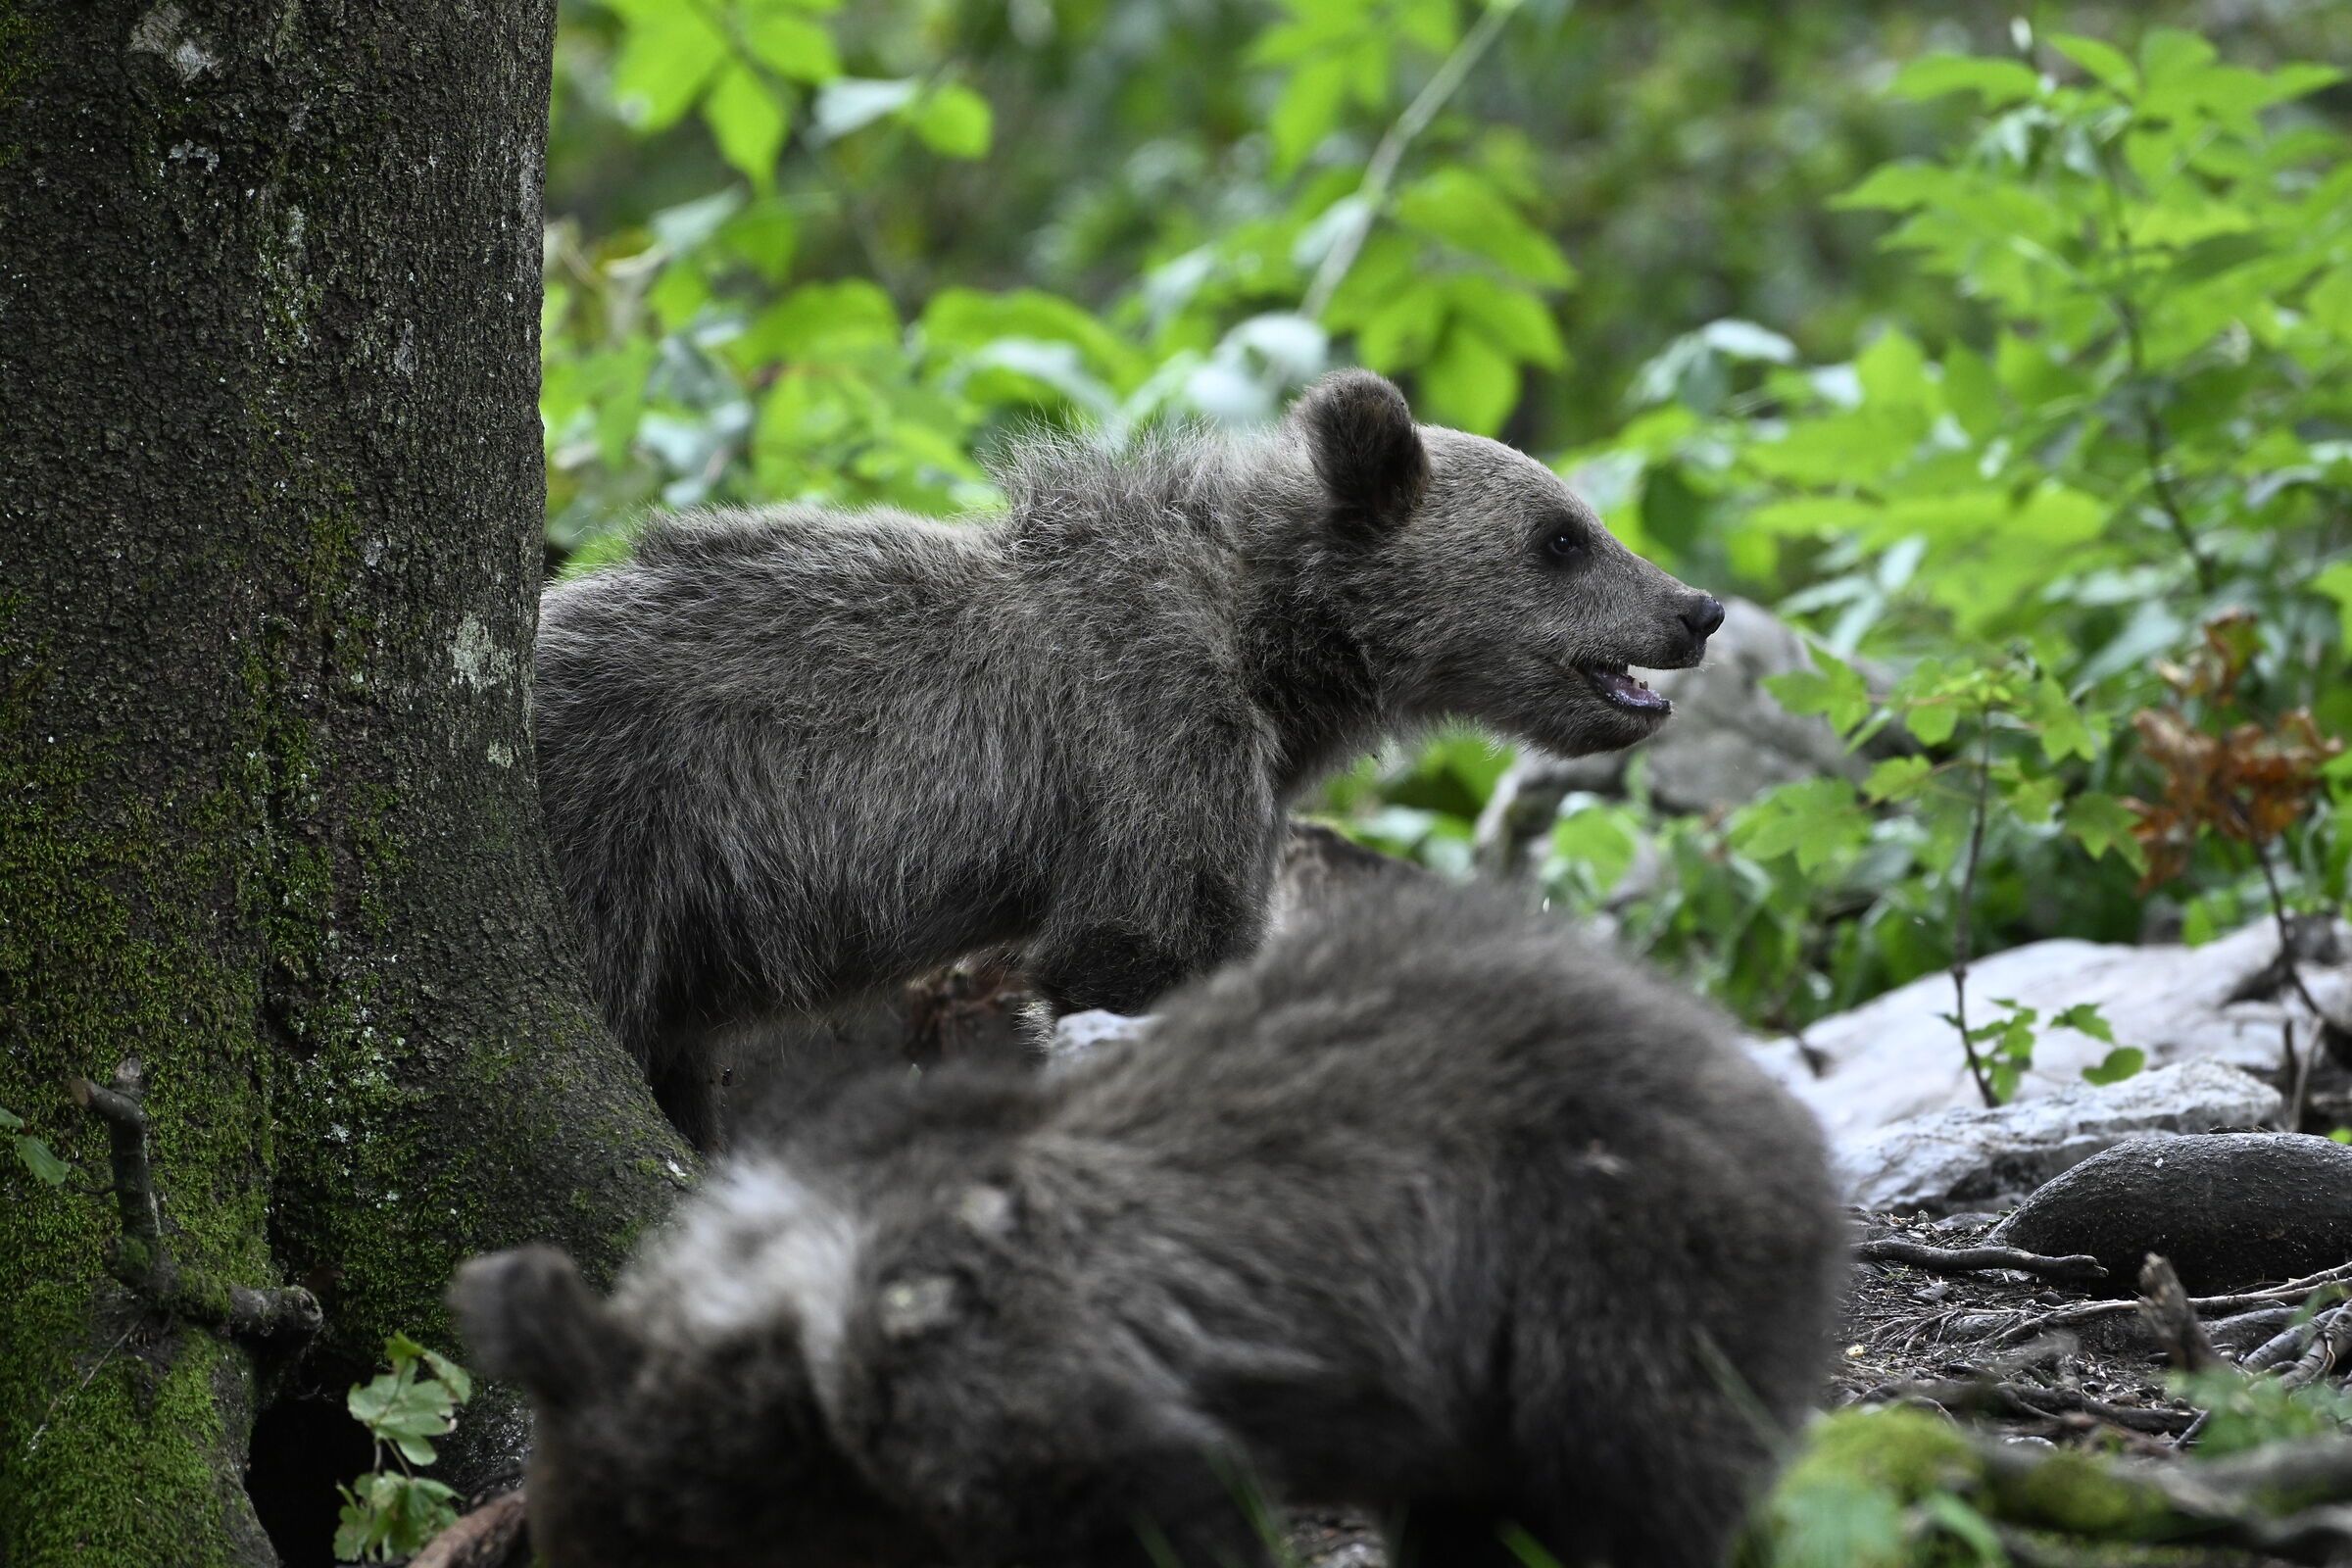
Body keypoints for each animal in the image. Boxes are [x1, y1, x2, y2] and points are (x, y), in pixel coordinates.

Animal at [535, 369, 1725, 1143]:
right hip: (619, 834)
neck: (1276, 654)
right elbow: (1138, 946)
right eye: (1562, 537)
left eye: (1585, 518)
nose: (1696, 608)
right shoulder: (1149, 739)